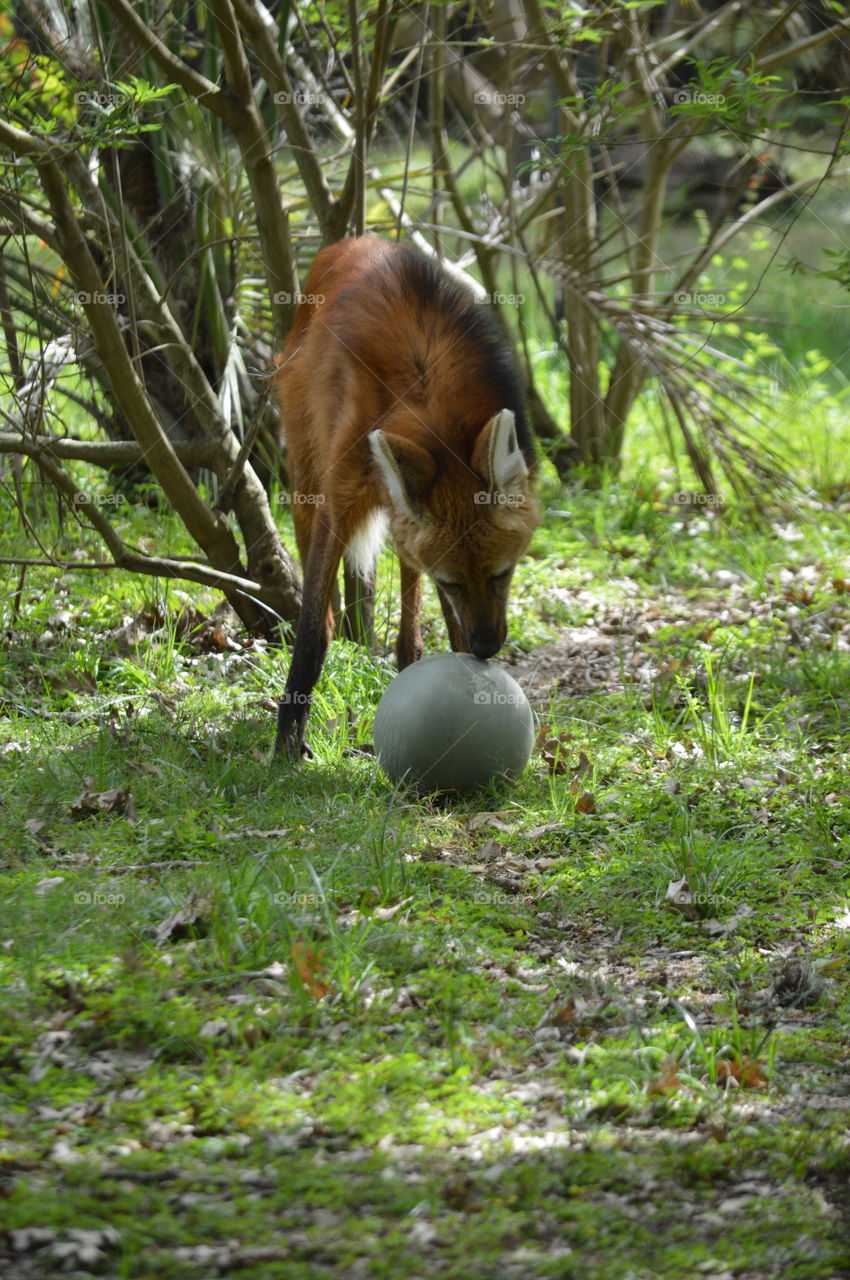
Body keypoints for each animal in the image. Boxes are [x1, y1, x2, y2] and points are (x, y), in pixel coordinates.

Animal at [274, 235, 539, 758]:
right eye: (452, 582)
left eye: (502, 574)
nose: (487, 649)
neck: (426, 391)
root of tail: (353, 240)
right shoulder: (341, 498)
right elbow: (312, 632)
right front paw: (288, 741)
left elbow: (439, 611)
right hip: (306, 471)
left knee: (407, 584)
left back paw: (408, 657)